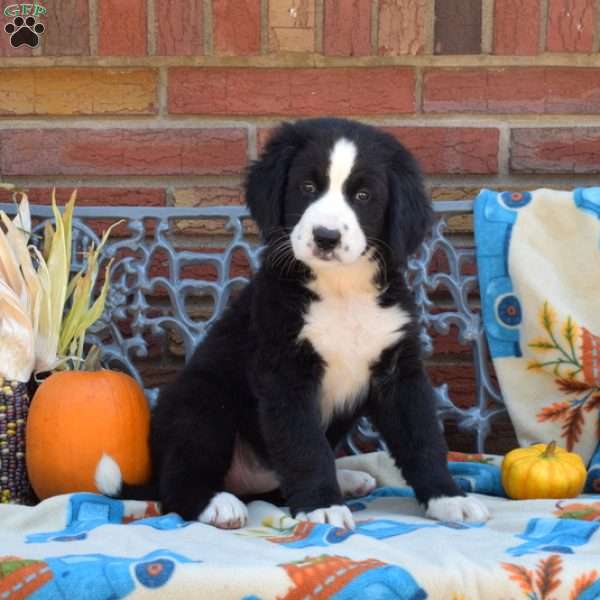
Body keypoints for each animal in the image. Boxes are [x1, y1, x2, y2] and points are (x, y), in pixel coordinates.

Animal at [96, 117, 490, 528]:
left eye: (363, 195)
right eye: (307, 187)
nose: (326, 237)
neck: (342, 291)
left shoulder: (398, 371)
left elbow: (422, 439)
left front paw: (448, 498)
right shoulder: (285, 372)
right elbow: (304, 446)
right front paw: (322, 507)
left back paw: (347, 479)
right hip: (201, 403)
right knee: (176, 487)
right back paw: (217, 504)